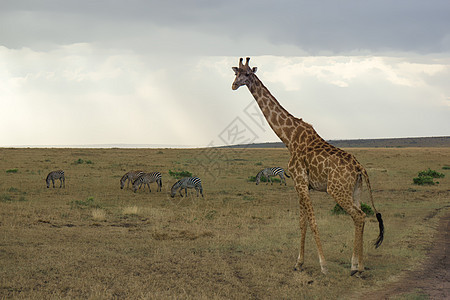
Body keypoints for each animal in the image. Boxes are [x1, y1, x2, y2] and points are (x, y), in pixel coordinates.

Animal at [232, 57, 384, 276]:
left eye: (247, 74)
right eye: (236, 73)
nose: (234, 85)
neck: (288, 138)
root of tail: (359, 168)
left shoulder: (300, 181)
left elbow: (311, 221)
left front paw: (323, 265)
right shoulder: (303, 185)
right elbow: (302, 222)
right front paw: (299, 263)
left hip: (336, 190)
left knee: (359, 216)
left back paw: (357, 267)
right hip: (355, 190)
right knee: (360, 217)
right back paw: (356, 265)